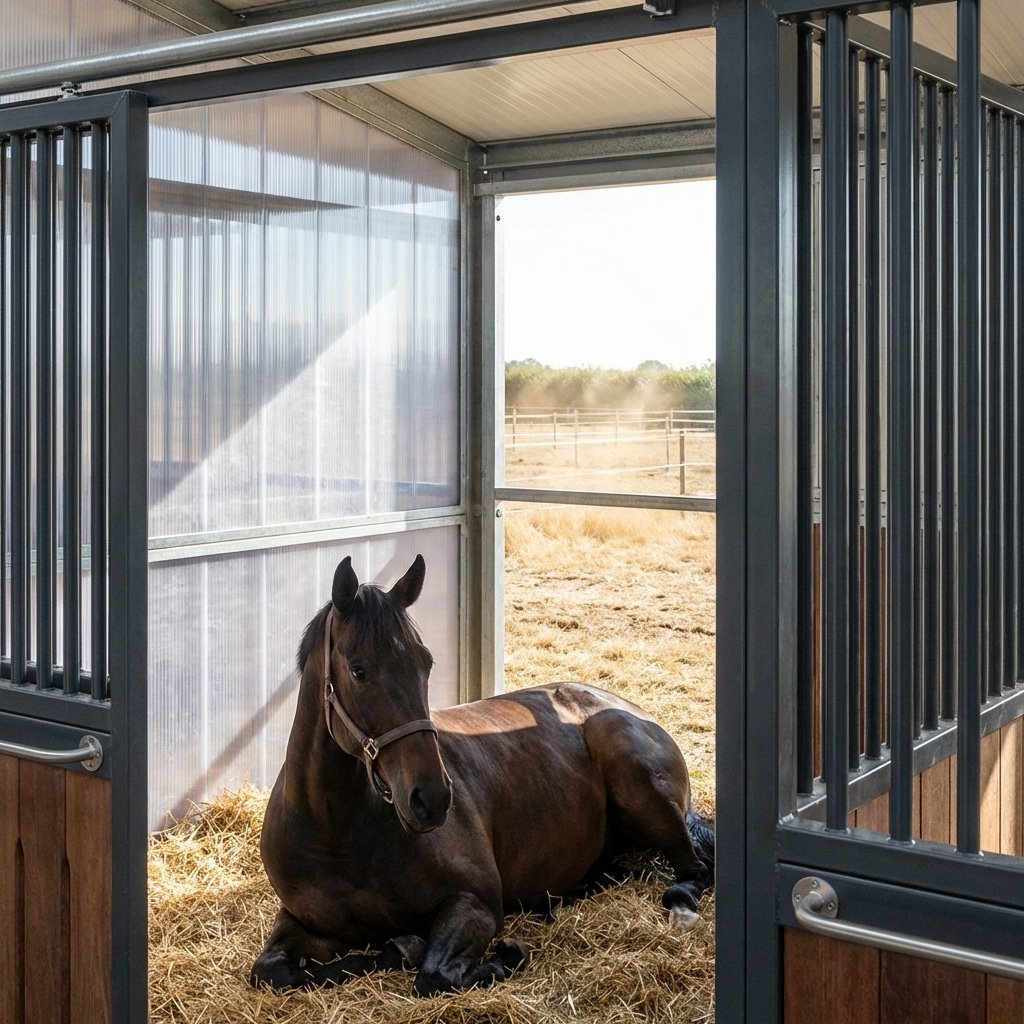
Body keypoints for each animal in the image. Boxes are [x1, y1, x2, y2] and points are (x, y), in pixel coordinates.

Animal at [250, 554, 714, 996]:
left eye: (426, 663)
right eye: (358, 670)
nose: (432, 798)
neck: (336, 833)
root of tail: (620, 705)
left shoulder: (476, 902)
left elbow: (433, 975)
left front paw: (502, 955)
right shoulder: (298, 920)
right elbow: (269, 972)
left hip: (640, 783)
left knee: (693, 870)